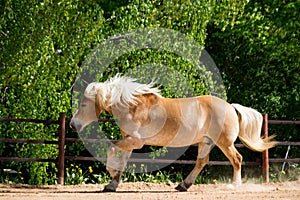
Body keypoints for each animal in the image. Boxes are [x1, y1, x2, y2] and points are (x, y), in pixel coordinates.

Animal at [70, 74, 276, 191]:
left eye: (84, 105)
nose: (73, 124)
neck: (132, 106)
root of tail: (230, 107)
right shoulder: (128, 140)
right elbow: (122, 160)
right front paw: (112, 185)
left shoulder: (136, 141)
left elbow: (111, 150)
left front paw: (110, 173)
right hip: (206, 142)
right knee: (201, 162)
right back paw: (183, 185)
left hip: (224, 143)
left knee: (237, 159)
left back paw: (234, 185)